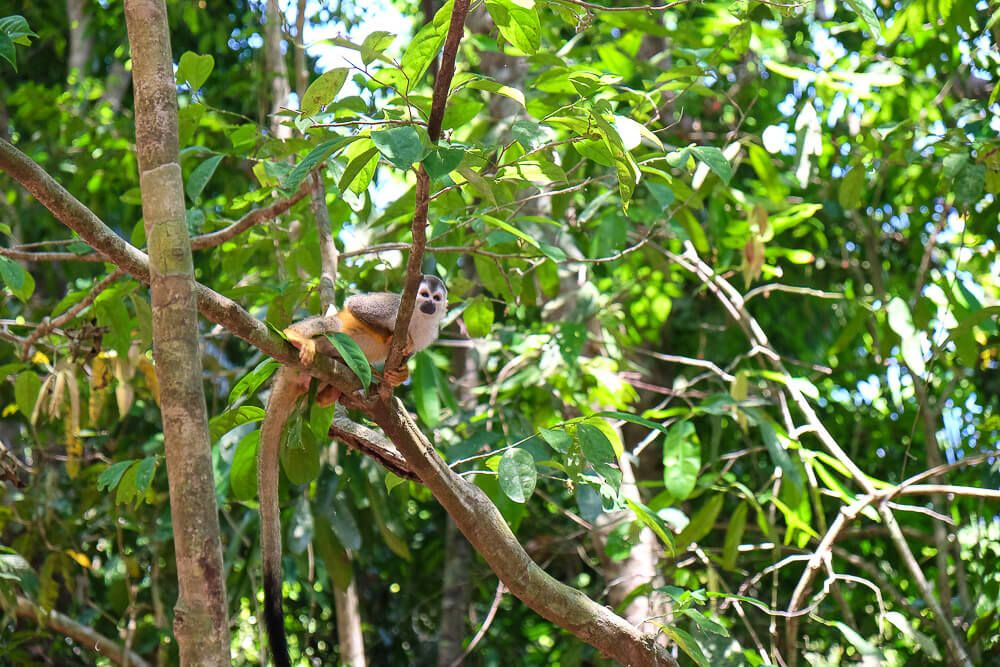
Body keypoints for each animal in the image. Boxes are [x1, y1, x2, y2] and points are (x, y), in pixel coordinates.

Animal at [260, 272, 448, 667]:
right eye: (422, 294)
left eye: (436, 299)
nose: (427, 304)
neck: (419, 322)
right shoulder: (395, 305)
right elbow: (359, 306)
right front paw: (392, 338)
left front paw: (397, 374)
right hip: (317, 346)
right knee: (332, 325)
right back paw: (298, 336)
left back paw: (329, 395)